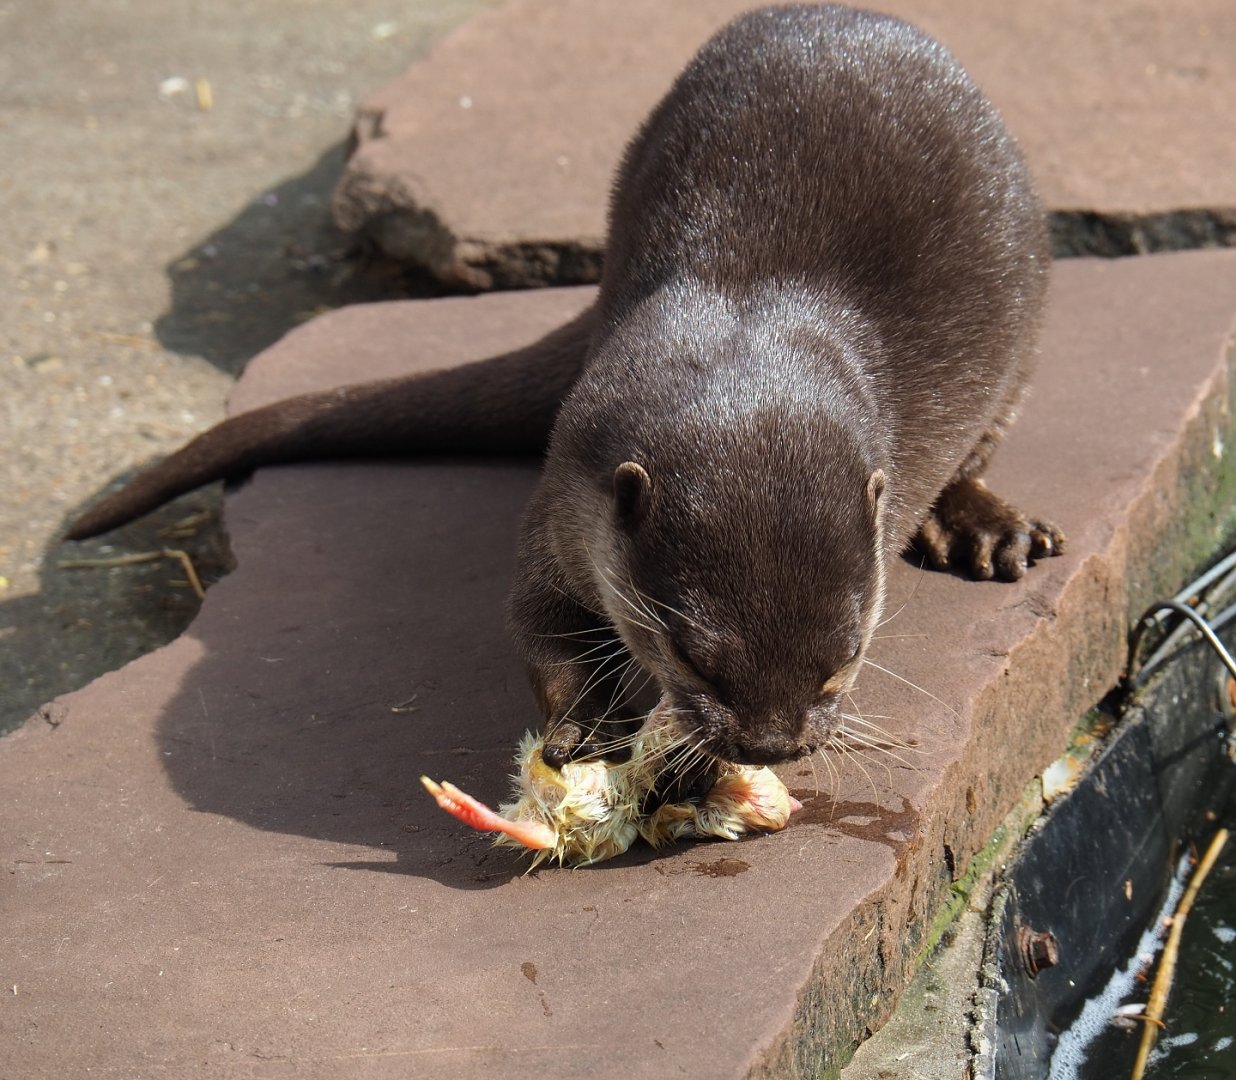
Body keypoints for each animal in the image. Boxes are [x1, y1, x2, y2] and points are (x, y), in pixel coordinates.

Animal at [69, 5, 1063, 771]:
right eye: (695, 659)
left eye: (845, 659)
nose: (772, 749)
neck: (748, 317)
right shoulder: (564, 496)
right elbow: (535, 626)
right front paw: (583, 723)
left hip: (1029, 321)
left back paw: (982, 523)